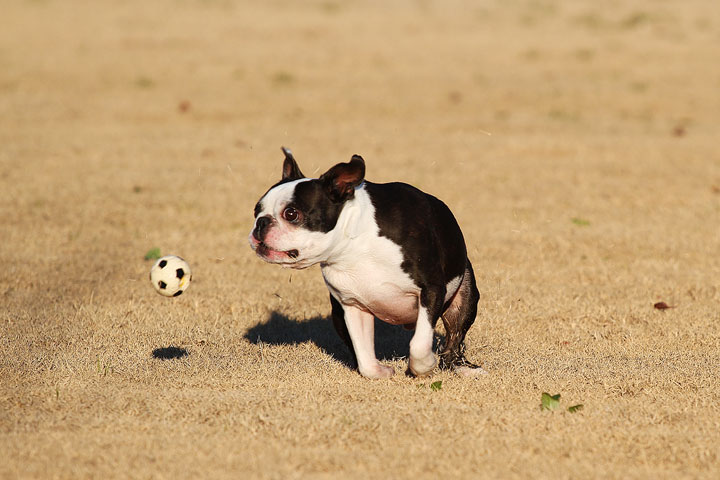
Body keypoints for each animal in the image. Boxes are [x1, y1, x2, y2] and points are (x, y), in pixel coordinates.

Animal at [249, 148, 484, 380]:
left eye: (291, 214)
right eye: (255, 210)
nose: (261, 222)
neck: (356, 242)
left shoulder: (431, 290)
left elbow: (419, 344)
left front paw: (424, 367)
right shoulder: (352, 305)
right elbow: (364, 358)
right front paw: (380, 372)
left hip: (464, 298)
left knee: (454, 338)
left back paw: (463, 368)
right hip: (338, 315)